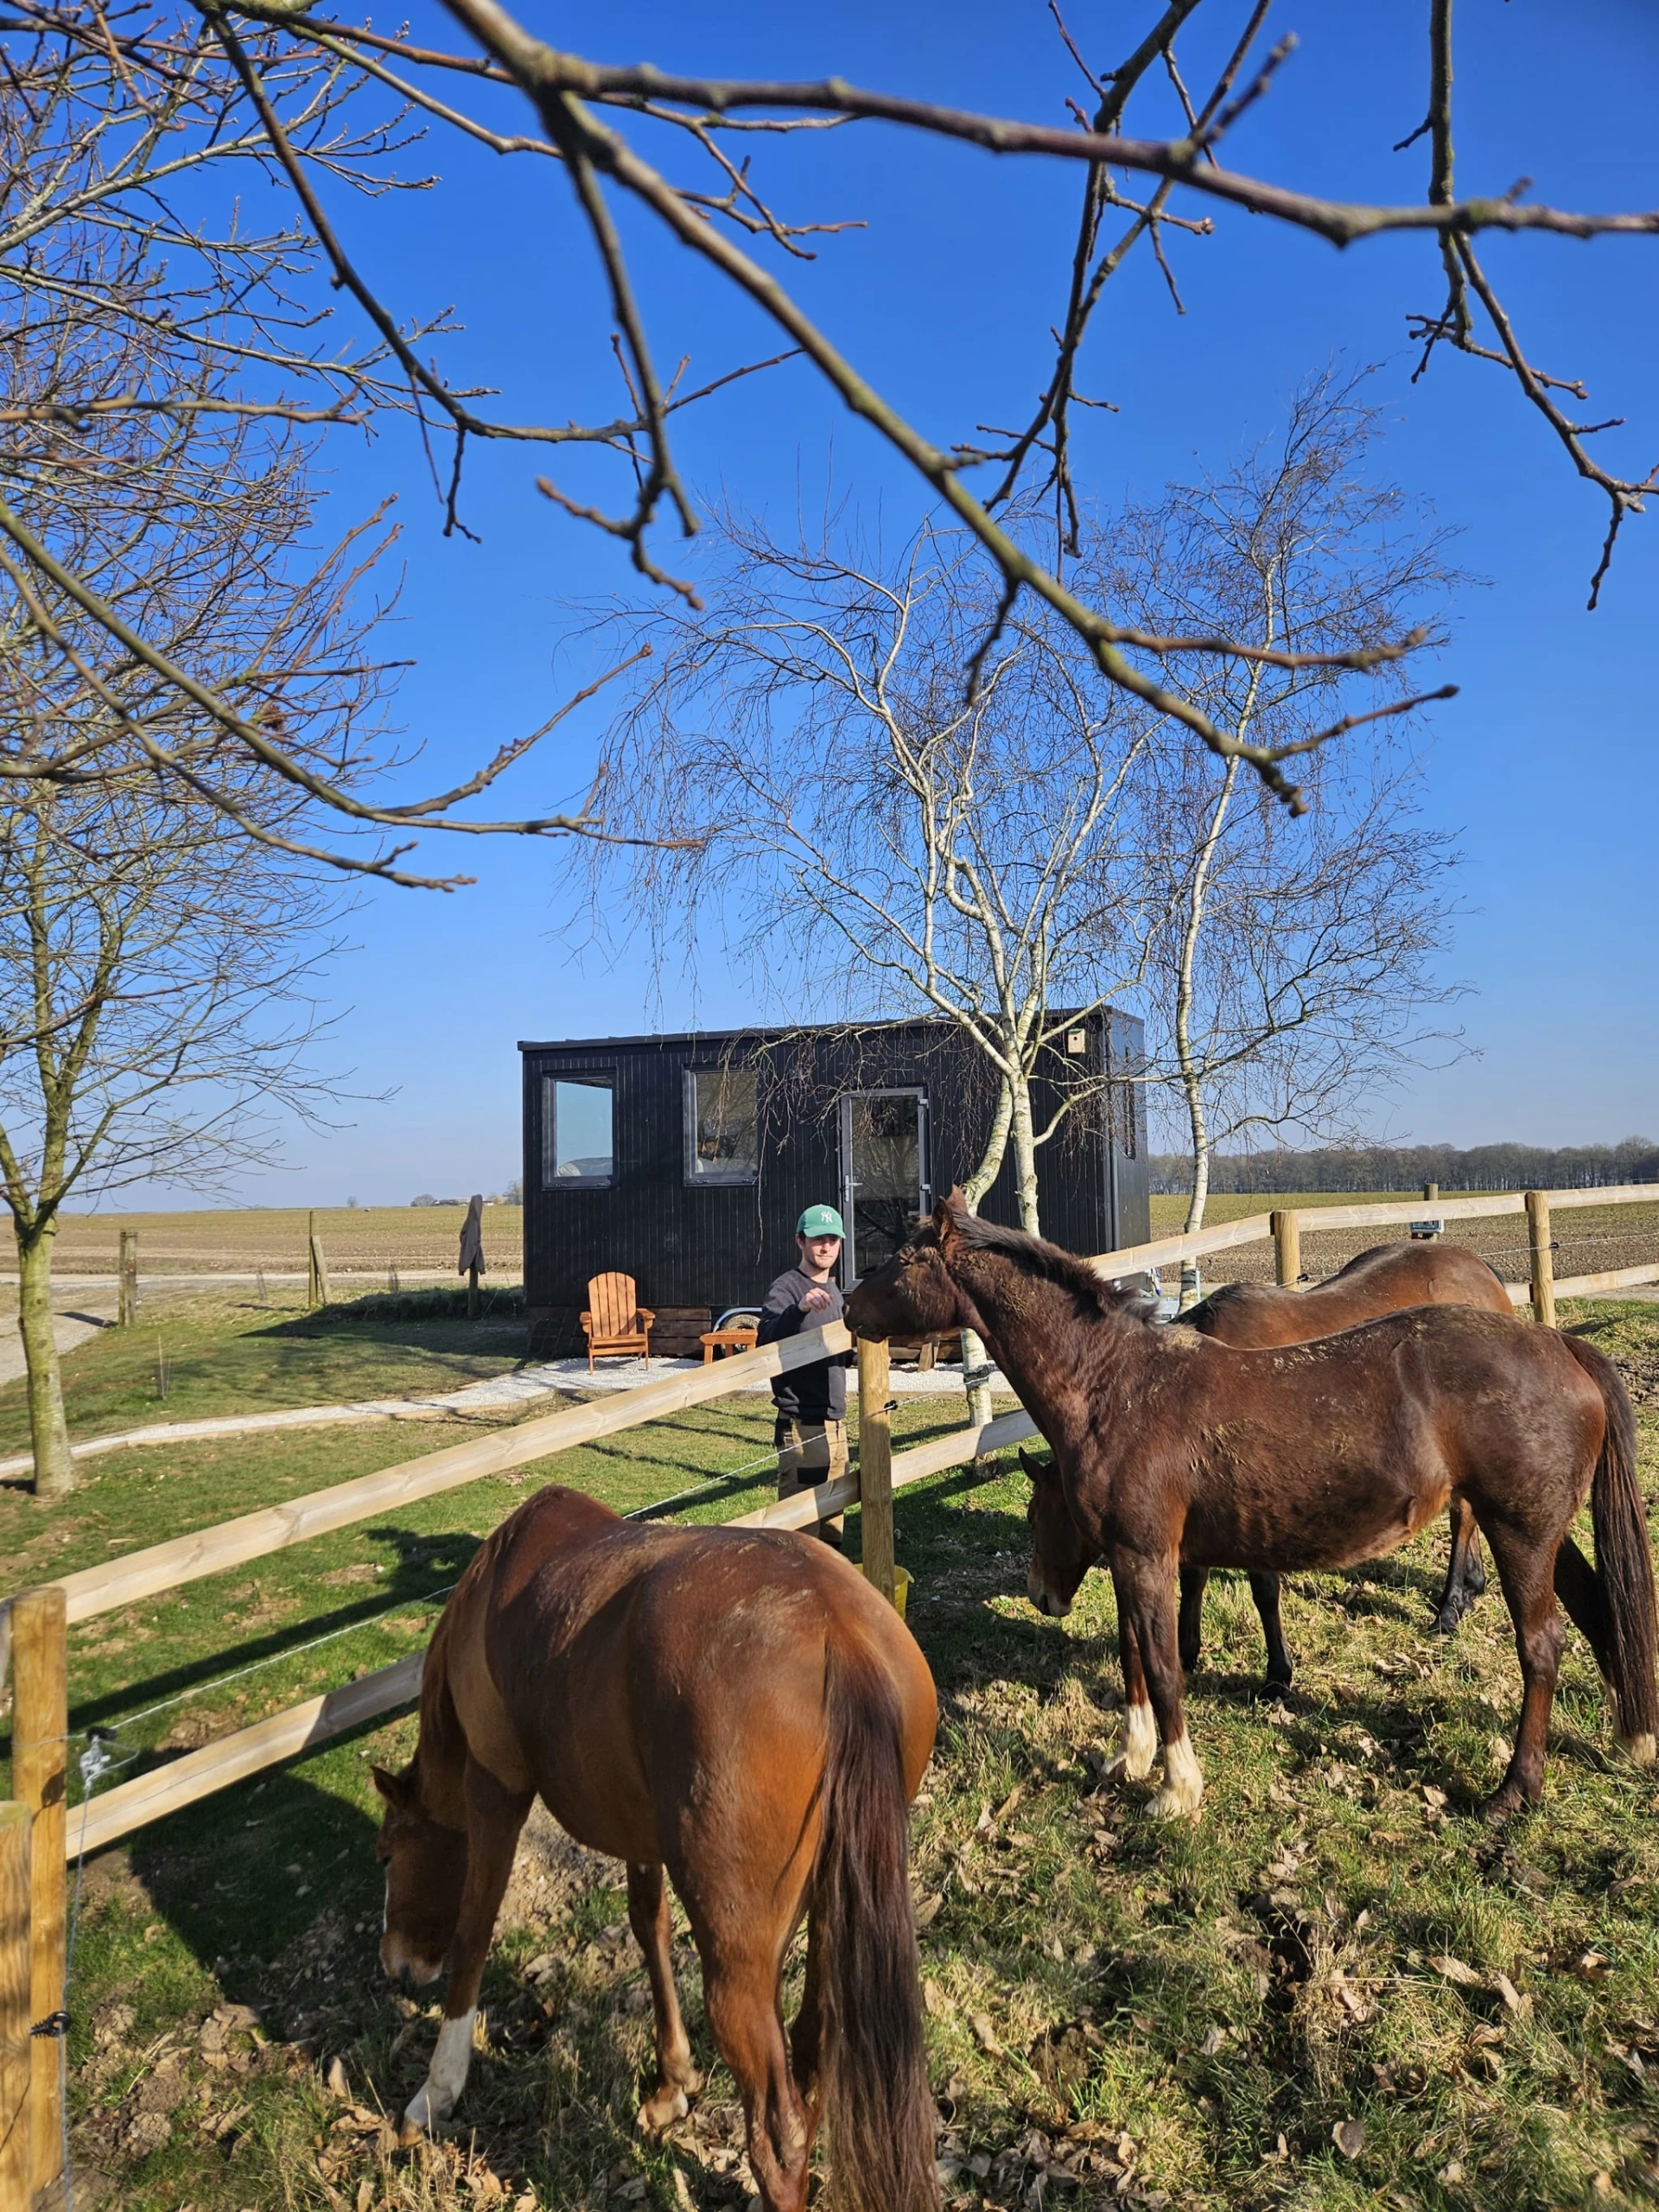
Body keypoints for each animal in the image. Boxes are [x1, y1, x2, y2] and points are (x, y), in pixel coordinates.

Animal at [373, 1484, 939, 2212]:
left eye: (388, 1855)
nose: (396, 1963)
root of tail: (836, 1631)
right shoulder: (637, 1827)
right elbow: (650, 1927)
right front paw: (673, 2081)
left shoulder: (496, 1788)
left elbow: (474, 1933)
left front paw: (437, 2089)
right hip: (828, 1918)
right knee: (813, 2067)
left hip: (738, 1968)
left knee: (778, 2134)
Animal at [1174, 1240, 1517, 1684]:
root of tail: (1481, 1271)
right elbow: (1192, 1576)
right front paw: (1185, 1655)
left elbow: (1263, 1589)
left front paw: (1278, 1673)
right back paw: (1470, 1589)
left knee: (1463, 1520)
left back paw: (1449, 1609)